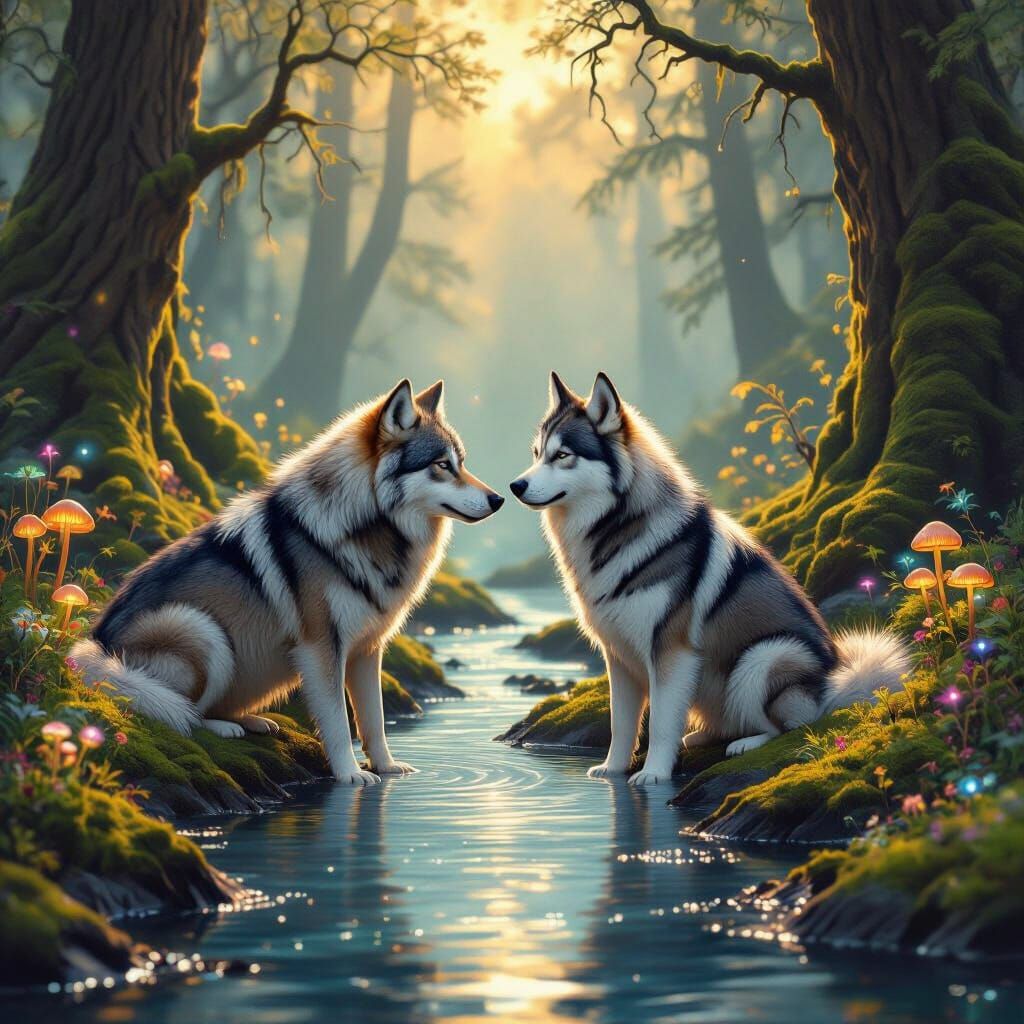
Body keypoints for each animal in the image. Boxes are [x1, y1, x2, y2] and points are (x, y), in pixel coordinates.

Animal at [72, 379, 504, 785]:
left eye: (461, 463)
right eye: (442, 465)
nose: (498, 499)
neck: (367, 528)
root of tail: (95, 647)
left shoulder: (368, 649)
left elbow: (375, 721)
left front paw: (386, 767)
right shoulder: (321, 647)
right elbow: (338, 720)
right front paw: (350, 774)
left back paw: (252, 721)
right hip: (200, 630)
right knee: (184, 712)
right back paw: (223, 726)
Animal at [510, 371, 909, 786]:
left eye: (562, 455)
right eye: (537, 453)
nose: (515, 486)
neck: (616, 527)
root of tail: (833, 686)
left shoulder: (671, 651)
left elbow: (661, 722)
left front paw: (653, 773)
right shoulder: (617, 656)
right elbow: (621, 723)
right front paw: (613, 769)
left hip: (764, 657)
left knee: (794, 726)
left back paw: (746, 743)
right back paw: (704, 735)